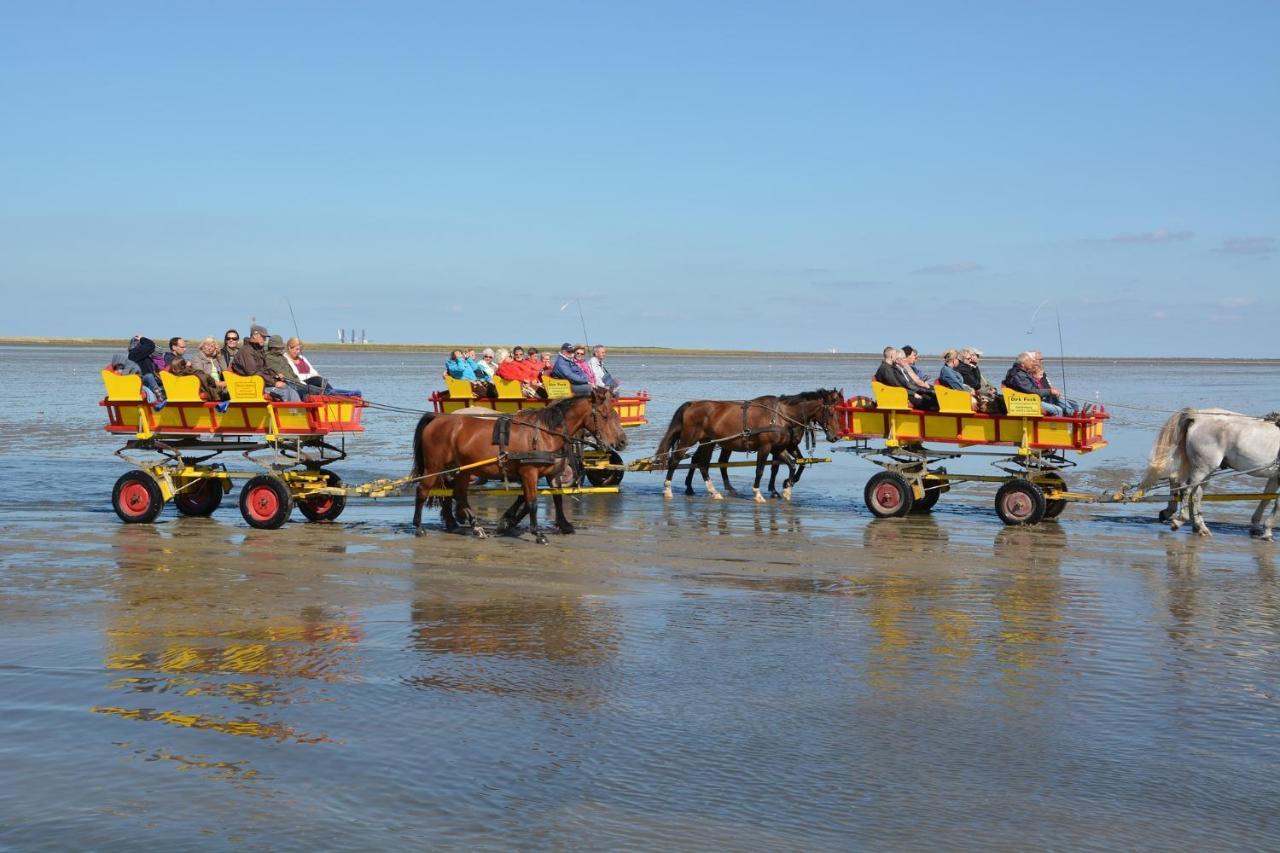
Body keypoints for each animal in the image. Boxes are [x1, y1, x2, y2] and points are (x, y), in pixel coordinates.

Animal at [412, 389, 627, 540]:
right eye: (605, 415)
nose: (622, 441)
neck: (545, 432)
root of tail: (439, 418)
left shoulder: (552, 472)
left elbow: (556, 497)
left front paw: (564, 524)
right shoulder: (529, 472)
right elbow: (532, 501)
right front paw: (536, 532)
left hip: (463, 469)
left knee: (458, 494)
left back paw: (475, 526)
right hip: (434, 467)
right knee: (423, 491)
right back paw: (419, 527)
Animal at [655, 389, 844, 502]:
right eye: (832, 412)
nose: (835, 436)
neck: (781, 416)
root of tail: (691, 404)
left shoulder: (779, 448)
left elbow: (791, 464)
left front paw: (787, 488)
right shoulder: (766, 447)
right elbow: (760, 470)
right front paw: (758, 493)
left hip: (708, 442)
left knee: (702, 464)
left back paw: (712, 491)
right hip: (689, 439)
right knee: (675, 460)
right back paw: (668, 489)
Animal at [1141, 407, 1280, 537]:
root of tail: (1197, 417)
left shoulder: (1274, 478)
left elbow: (1266, 499)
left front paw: (1257, 527)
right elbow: (1276, 504)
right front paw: (1267, 532)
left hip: (1205, 470)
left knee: (1194, 493)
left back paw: (1199, 527)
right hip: (1203, 468)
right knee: (1186, 489)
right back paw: (1181, 520)